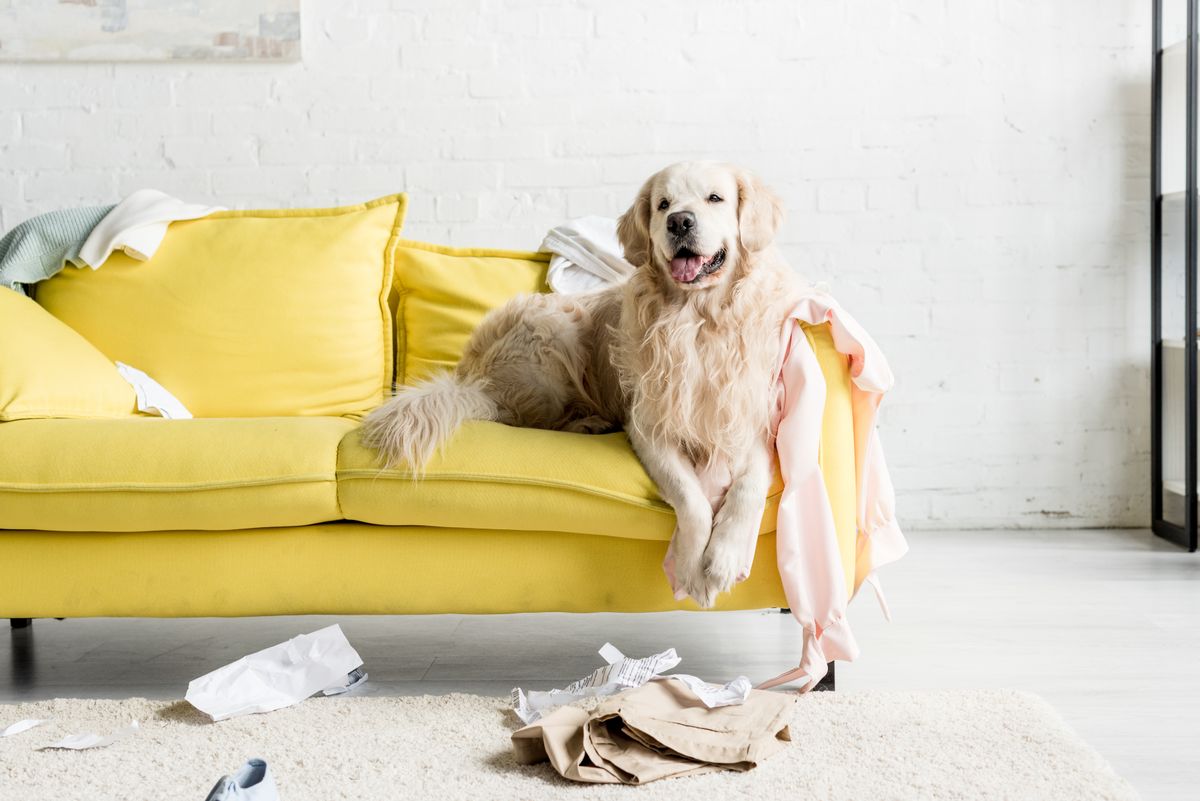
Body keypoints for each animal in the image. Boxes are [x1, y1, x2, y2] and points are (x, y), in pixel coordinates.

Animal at [360, 163, 801, 606]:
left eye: (715, 199)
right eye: (663, 205)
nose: (679, 222)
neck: (698, 320)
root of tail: (469, 375)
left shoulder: (750, 421)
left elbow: (748, 489)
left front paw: (724, 558)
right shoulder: (648, 427)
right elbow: (691, 497)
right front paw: (694, 568)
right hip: (554, 330)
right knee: (517, 417)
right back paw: (587, 422)